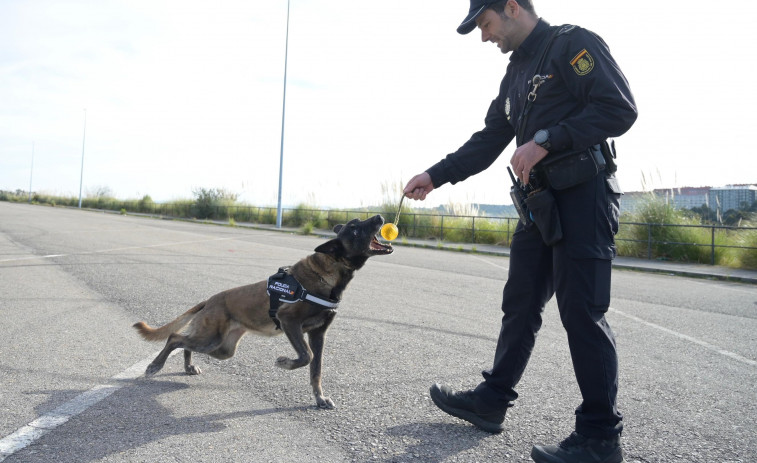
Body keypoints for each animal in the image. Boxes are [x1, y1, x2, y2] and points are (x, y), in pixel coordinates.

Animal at [133, 216, 392, 408]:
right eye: (355, 230)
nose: (380, 217)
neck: (328, 272)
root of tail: (210, 300)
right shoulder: (289, 322)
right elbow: (306, 356)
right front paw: (285, 363)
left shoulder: (318, 335)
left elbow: (315, 370)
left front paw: (319, 398)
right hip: (211, 339)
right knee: (175, 338)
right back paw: (155, 366)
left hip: (221, 348)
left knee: (185, 343)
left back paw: (187, 366)